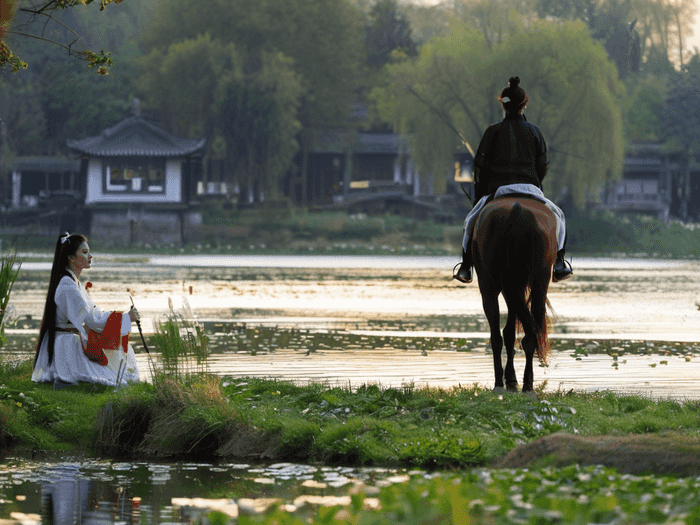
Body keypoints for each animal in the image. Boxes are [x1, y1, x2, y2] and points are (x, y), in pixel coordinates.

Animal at [474, 194, 556, 390]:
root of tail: (517, 209)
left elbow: (504, 332)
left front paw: (507, 379)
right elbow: (511, 331)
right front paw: (512, 379)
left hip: (493, 284)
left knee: (497, 335)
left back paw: (502, 382)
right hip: (539, 277)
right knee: (532, 325)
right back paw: (527, 383)